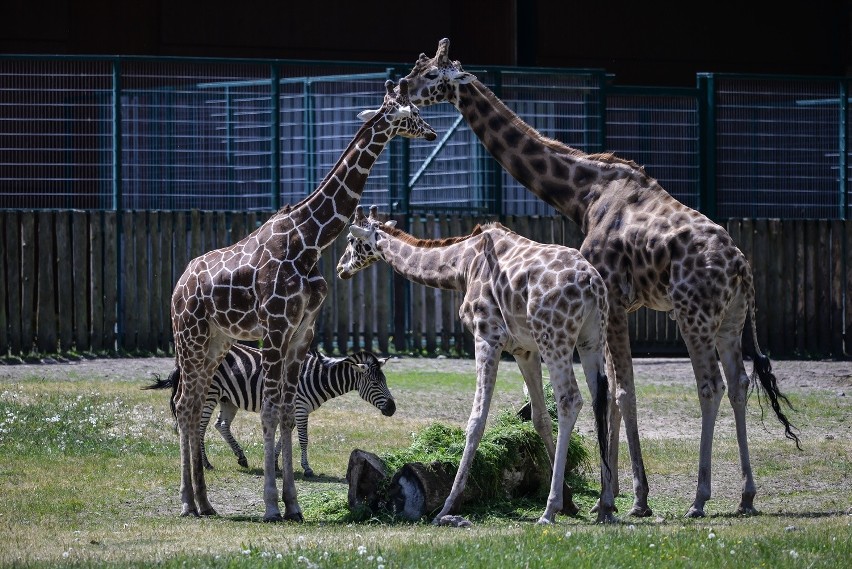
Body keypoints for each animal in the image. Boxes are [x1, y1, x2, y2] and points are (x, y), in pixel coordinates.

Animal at [146, 342, 396, 474]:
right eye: (376, 384)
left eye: (384, 381)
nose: (392, 409)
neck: (316, 377)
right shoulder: (300, 407)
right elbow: (303, 439)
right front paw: (307, 468)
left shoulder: (293, 409)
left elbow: (284, 437)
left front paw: (275, 464)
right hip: (210, 393)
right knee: (200, 428)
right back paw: (206, 464)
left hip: (228, 399)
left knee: (221, 425)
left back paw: (241, 458)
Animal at [171, 79, 440, 520]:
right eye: (408, 113)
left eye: (419, 110)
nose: (432, 133)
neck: (310, 242)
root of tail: (178, 286)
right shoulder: (276, 329)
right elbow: (268, 411)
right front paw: (270, 506)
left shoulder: (302, 332)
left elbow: (285, 413)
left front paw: (293, 504)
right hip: (188, 337)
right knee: (183, 405)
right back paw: (185, 502)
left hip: (216, 342)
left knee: (192, 407)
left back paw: (203, 502)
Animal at [340, 204, 620, 524]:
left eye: (351, 240)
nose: (341, 268)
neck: (461, 264)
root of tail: (592, 283)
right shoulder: (524, 349)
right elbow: (538, 417)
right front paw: (570, 501)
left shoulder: (487, 336)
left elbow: (476, 420)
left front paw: (448, 506)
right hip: (591, 338)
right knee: (601, 400)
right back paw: (605, 504)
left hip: (555, 338)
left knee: (570, 400)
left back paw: (548, 510)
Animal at [402, 37, 804, 516]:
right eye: (417, 68)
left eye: (430, 74)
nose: (399, 87)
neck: (583, 193)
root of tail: (742, 268)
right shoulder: (621, 306)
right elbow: (616, 391)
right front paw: (626, 498)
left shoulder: (613, 294)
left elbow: (617, 391)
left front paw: (618, 499)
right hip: (731, 320)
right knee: (740, 382)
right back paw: (745, 496)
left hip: (694, 316)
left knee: (710, 385)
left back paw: (699, 497)